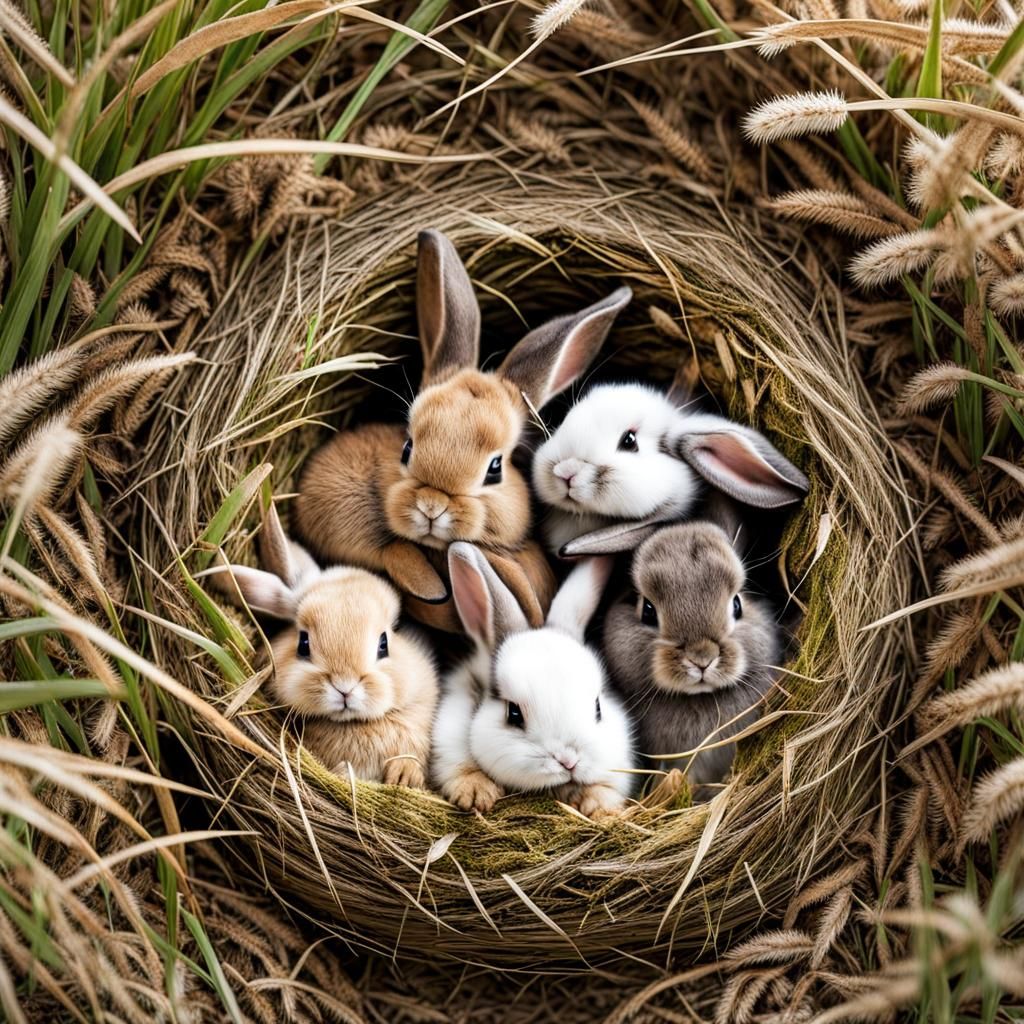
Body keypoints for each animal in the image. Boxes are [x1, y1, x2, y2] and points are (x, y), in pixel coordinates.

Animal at [432, 542, 635, 819]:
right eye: (513, 713)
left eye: (598, 708)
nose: (568, 761)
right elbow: (461, 766)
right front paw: (476, 794)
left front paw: (598, 806)